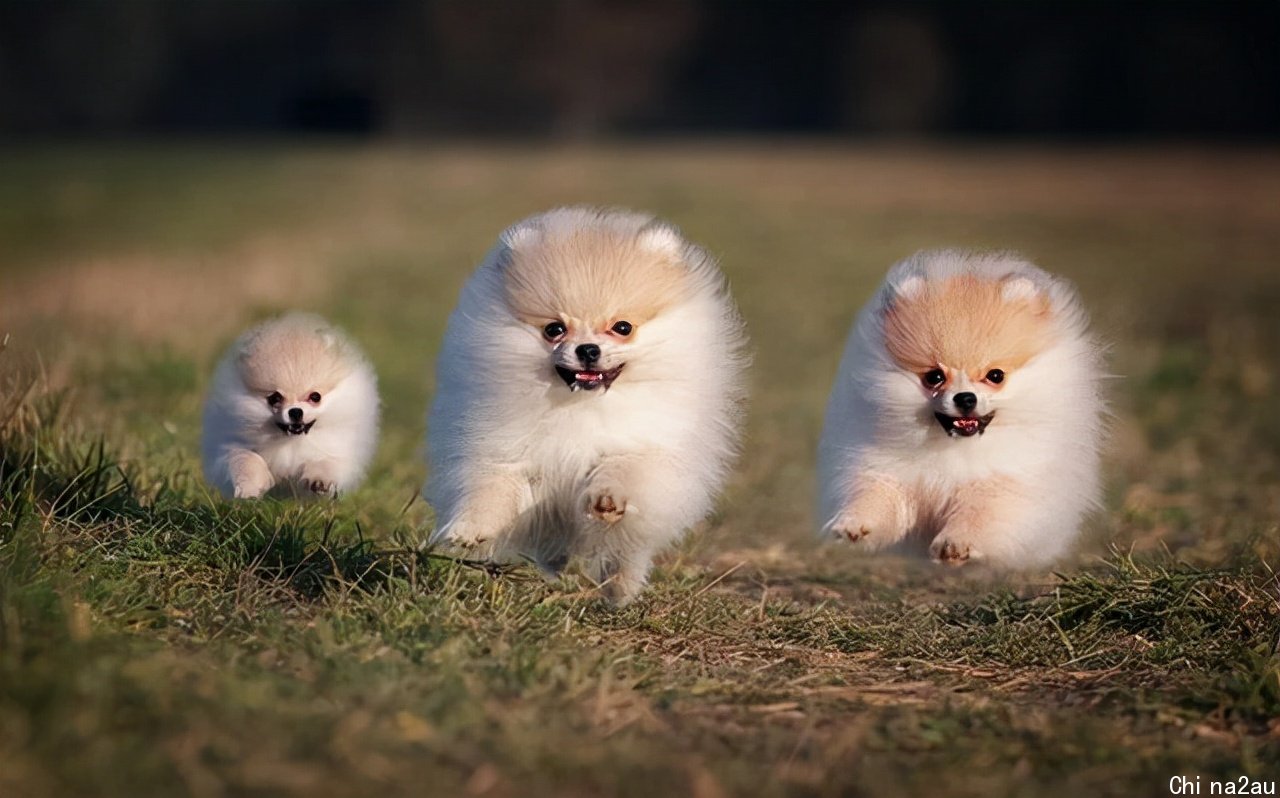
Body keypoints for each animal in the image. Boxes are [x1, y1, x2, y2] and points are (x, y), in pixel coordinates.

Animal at [200, 312, 378, 499]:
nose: (295, 412)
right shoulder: (230, 444)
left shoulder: (337, 449)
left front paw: (319, 482)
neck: (291, 442)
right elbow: (247, 460)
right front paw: (250, 488)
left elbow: (325, 463)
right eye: (275, 398)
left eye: (315, 396)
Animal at [430, 206, 747, 604]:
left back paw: (619, 590)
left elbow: (621, 473)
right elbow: (489, 490)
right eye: (554, 329)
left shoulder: (645, 452)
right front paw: (468, 530)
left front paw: (606, 500)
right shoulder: (508, 453)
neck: (581, 404)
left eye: (623, 327)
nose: (588, 349)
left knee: (623, 552)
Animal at [819, 249, 1100, 568]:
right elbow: (875, 500)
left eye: (995, 375)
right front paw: (853, 526)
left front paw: (955, 544)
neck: (952, 447)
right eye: (934, 377)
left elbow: (978, 516)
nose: (965, 398)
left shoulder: (1002, 484)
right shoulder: (887, 472)